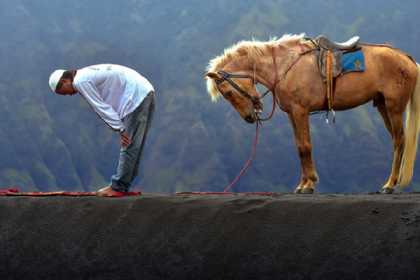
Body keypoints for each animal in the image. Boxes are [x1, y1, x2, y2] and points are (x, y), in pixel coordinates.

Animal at [204, 32, 420, 194]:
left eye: (227, 92)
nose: (249, 117)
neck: (284, 65)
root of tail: (408, 59)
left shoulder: (300, 110)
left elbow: (305, 146)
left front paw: (309, 184)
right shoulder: (292, 113)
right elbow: (299, 146)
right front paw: (303, 183)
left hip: (394, 106)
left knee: (399, 140)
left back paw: (390, 184)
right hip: (382, 105)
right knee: (397, 140)